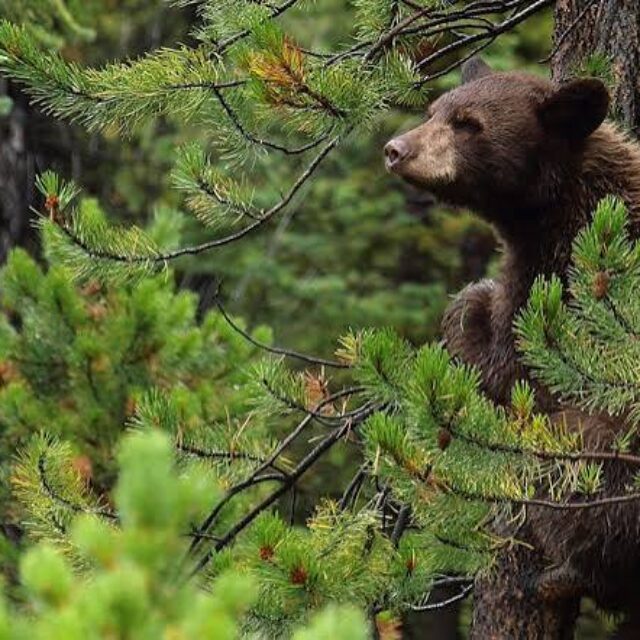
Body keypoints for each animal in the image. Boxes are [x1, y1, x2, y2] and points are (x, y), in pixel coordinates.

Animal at [384, 58, 640, 636]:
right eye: (434, 109)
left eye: (468, 124)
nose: (396, 149)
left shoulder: (570, 282)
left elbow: (512, 362)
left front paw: (471, 305)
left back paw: (566, 573)